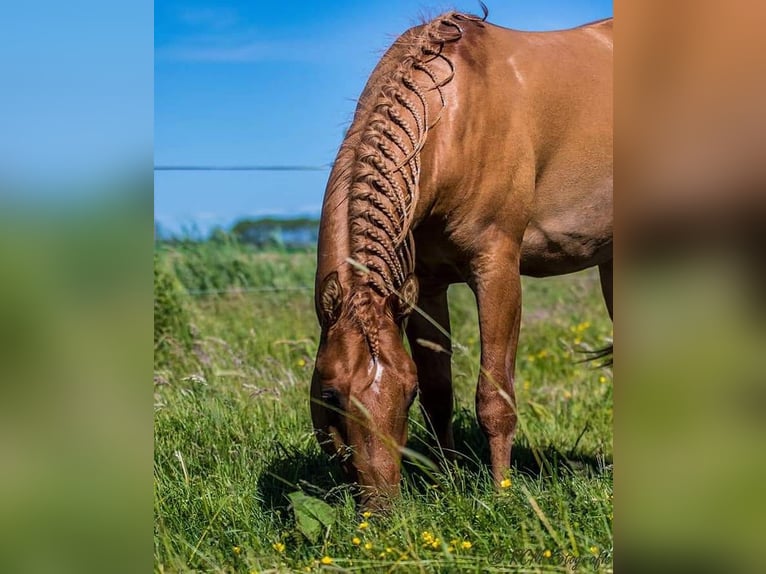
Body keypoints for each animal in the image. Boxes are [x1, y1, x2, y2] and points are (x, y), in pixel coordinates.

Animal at [308, 9, 616, 508]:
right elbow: (440, 392)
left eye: (404, 393)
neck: (453, 116)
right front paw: (445, 483)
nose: (382, 509)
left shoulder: (496, 270)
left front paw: (502, 493)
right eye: (331, 395)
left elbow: (494, 397)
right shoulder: (425, 287)